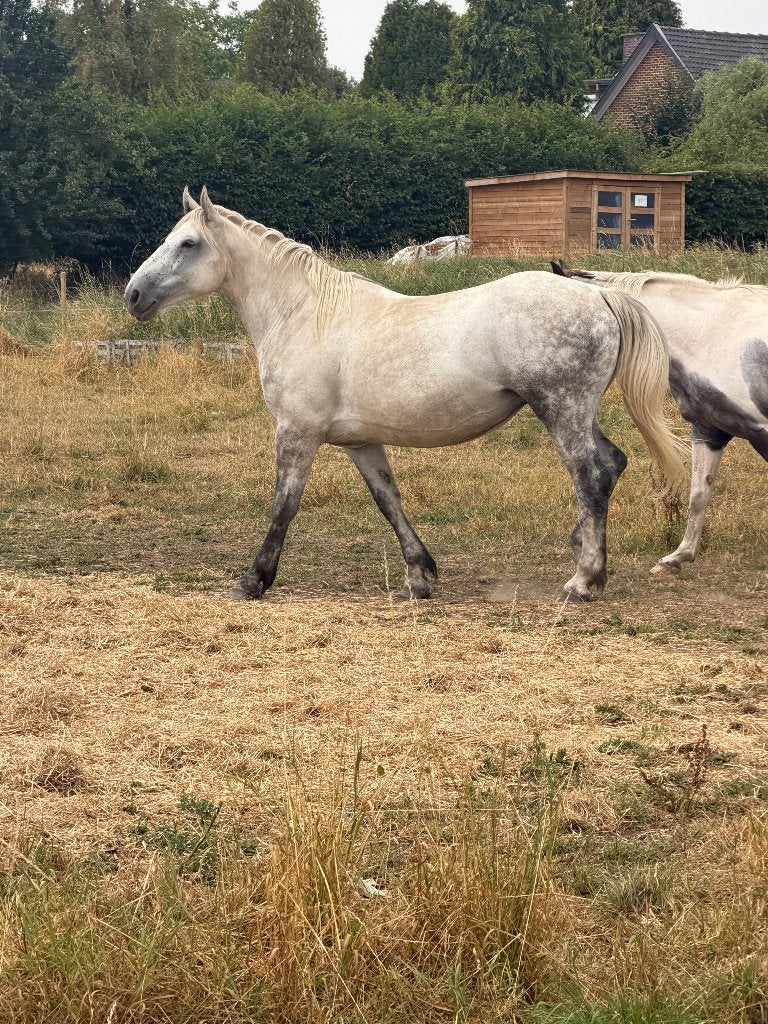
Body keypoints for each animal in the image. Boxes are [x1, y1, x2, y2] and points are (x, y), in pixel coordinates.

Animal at [124, 188, 685, 603]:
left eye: (188, 244)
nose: (133, 294)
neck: (304, 313)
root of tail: (599, 293)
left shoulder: (297, 433)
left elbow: (284, 504)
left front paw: (253, 580)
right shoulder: (359, 441)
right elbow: (388, 500)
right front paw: (421, 576)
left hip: (561, 410)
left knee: (591, 476)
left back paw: (584, 580)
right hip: (576, 412)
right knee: (611, 464)